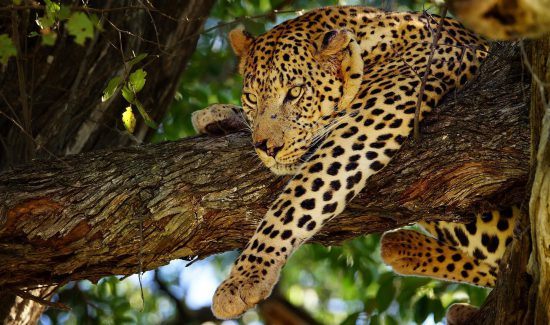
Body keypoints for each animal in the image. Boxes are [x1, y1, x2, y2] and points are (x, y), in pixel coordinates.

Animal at [193, 5, 520, 318]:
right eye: (252, 97)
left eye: (295, 92)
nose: (267, 148)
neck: (371, 46)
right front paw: (215, 115)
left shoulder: (366, 123)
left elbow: (295, 201)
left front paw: (245, 277)